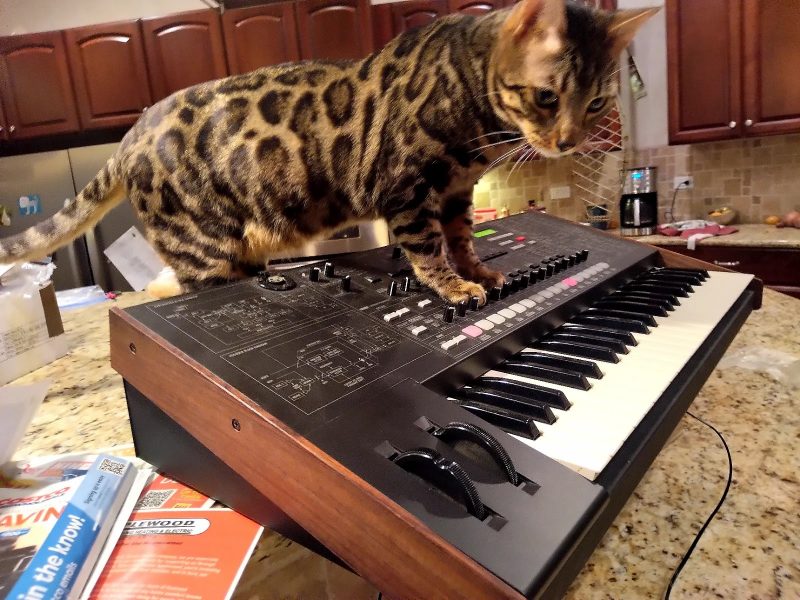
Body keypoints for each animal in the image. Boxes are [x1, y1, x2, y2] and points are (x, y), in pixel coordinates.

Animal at [0, 0, 656, 308]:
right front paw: (451, 287)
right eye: (548, 97)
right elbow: (426, 249)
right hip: (208, 253)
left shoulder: (455, 190)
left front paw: (475, 271)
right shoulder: (408, 189)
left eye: (598, 104)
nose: (569, 141)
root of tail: (128, 134)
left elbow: (463, 237)